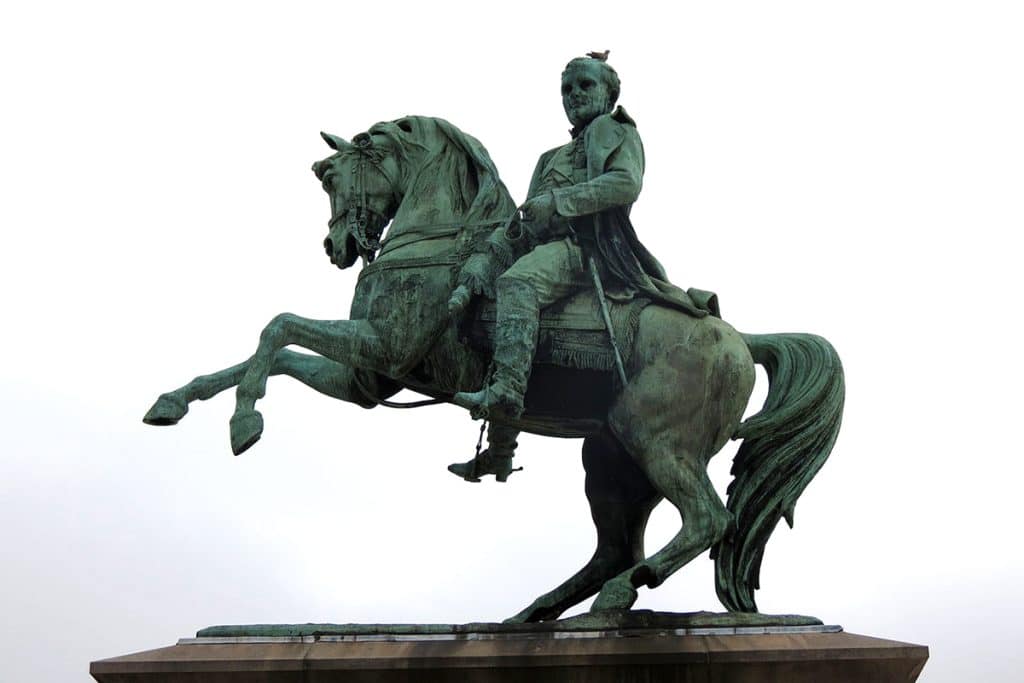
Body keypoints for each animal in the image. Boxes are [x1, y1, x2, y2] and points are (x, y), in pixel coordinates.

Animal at [146, 113, 847, 618]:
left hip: (657, 441)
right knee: (615, 546)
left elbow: (277, 328)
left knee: (705, 519)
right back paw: (537, 613)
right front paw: (176, 401)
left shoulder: (384, 348)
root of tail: (739, 337)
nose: (336, 246)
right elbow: (268, 352)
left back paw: (622, 593)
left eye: (330, 175)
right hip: (611, 460)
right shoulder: (369, 379)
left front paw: (243, 424)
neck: (437, 245)